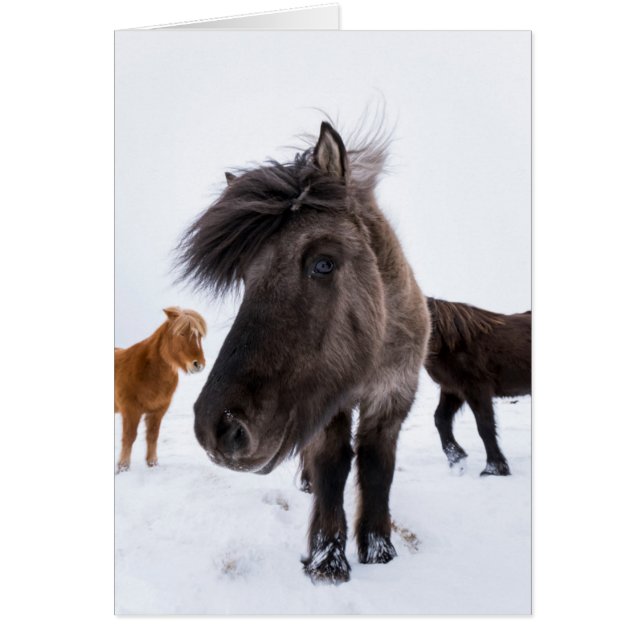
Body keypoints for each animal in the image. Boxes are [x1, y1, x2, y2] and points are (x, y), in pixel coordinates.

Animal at [114, 307, 207, 472]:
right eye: (181, 333)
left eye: (199, 336)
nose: (198, 364)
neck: (147, 372)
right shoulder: (130, 410)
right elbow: (129, 437)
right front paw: (123, 467)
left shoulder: (157, 411)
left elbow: (152, 435)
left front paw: (152, 464)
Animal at [177, 122, 430, 584]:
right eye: (246, 277)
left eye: (324, 263)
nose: (217, 428)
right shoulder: (328, 403)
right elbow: (332, 466)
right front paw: (327, 560)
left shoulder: (391, 399)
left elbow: (376, 468)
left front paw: (379, 551)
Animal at [424, 297, 531, 476]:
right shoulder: (453, 389)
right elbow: (441, 419)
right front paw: (457, 459)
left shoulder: (476, 389)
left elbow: (485, 426)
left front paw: (494, 468)